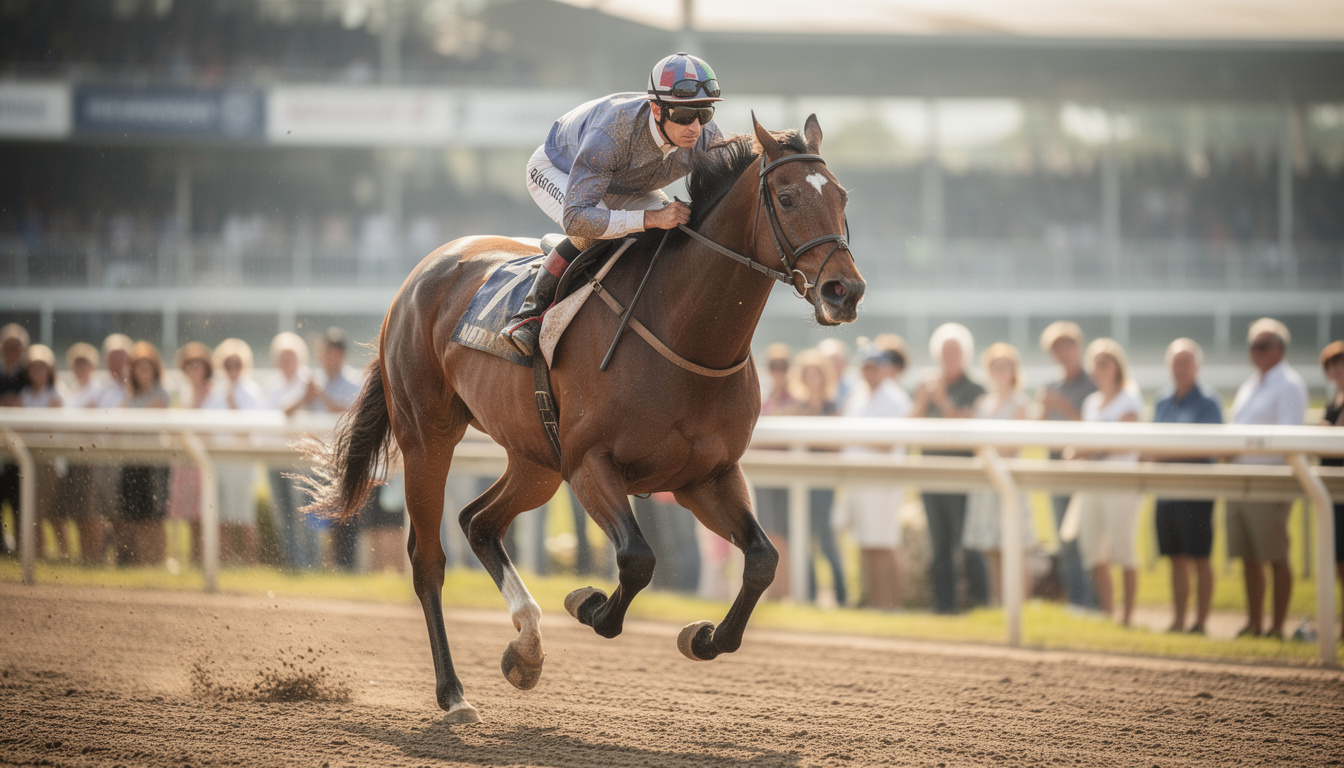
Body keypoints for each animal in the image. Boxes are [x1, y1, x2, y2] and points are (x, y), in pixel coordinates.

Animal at [304, 115, 865, 723]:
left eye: (842, 197)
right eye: (786, 198)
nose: (845, 290)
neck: (684, 334)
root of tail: (419, 276)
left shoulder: (705, 477)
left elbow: (763, 559)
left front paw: (704, 637)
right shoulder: (590, 464)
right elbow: (637, 559)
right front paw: (590, 604)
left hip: (536, 459)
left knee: (479, 521)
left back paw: (525, 647)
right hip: (429, 438)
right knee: (428, 559)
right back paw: (453, 693)